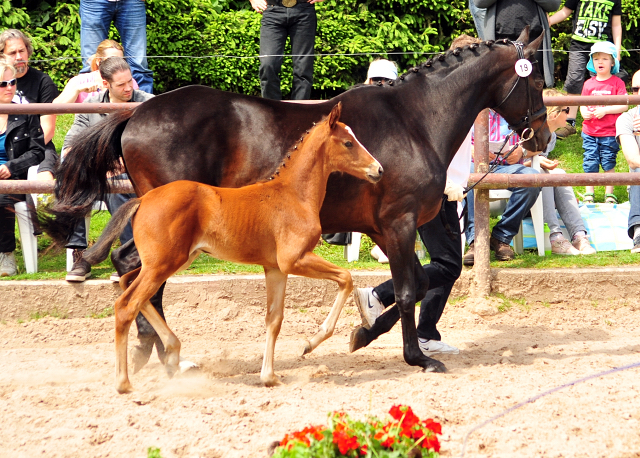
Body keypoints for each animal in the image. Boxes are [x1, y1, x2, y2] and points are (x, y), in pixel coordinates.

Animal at [87, 102, 382, 392]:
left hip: (171, 261)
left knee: (127, 283)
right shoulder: (294, 259)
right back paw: (125, 382)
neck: (294, 195)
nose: (378, 169)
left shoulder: (275, 269)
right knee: (127, 304)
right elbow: (346, 277)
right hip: (163, 264)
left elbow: (274, 319)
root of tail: (143, 199)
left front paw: (269, 376)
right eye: (348, 143)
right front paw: (310, 342)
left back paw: (172, 352)